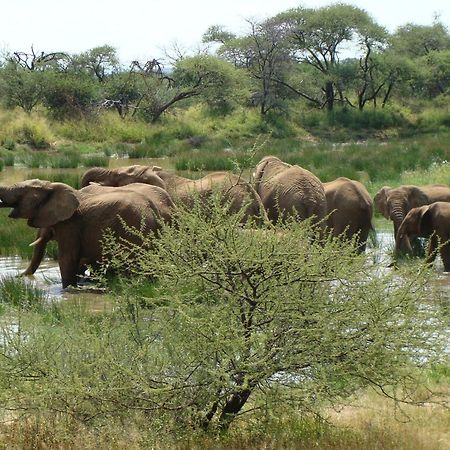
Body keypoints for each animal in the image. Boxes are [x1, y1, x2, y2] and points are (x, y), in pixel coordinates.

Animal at [0, 180, 176, 288]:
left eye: (22, 192)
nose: (14, 277)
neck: (52, 185)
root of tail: (152, 209)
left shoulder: (70, 225)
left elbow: (67, 259)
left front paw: (68, 290)